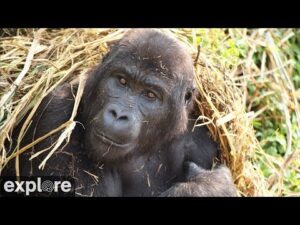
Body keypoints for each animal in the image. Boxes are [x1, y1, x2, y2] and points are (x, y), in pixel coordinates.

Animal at [2, 29, 237, 196]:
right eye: (122, 81)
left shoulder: (201, 141)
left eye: (150, 95)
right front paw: (213, 187)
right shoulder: (55, 116)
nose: (118, 114)